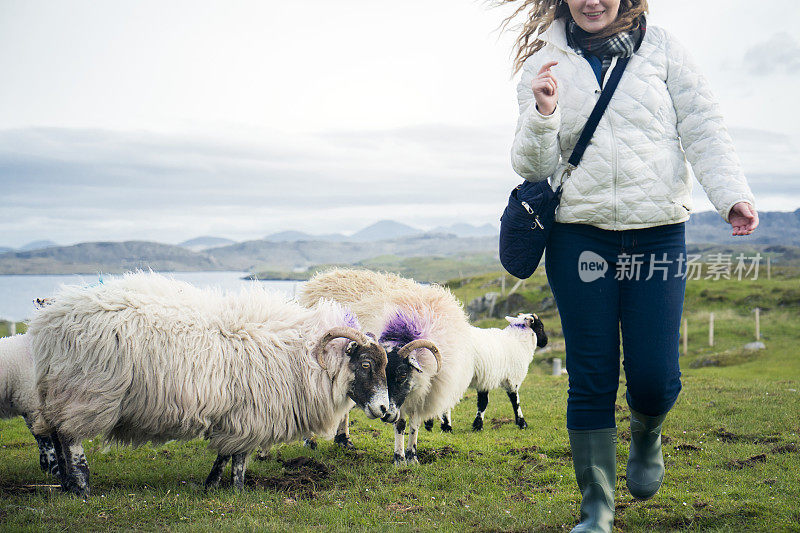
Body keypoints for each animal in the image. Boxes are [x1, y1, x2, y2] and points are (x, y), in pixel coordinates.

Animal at [0, 332, 59, 474]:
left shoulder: (30, 404)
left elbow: (40, 437)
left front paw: (48, 468)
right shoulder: (32, 402)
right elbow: (43, 438)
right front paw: (51, 468)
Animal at [28, 272, 394, 496]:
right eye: (365, 364)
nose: (385, 410)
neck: (305, 356)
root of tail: (50, 321)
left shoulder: (239, 415)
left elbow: (227, 454)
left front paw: (213, 484)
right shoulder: (252, 414)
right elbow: (239, 456)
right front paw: (237, 489)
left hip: (57, 391)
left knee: (56, 433)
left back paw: (66, 483)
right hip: (85, 392)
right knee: (70, 437)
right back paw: (82, 487)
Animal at [300, 268, 476, 464]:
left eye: (402, 374)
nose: (385, 414)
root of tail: (324, 276)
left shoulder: (420, 395)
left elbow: (414, 424)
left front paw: (412, 456)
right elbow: (400, 424)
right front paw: (399, 458)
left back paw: (344, 441)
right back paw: (311, 441)